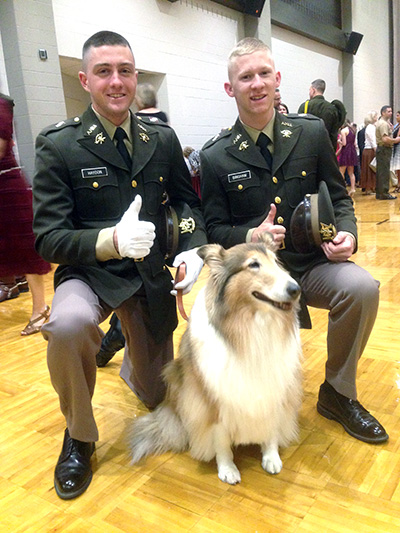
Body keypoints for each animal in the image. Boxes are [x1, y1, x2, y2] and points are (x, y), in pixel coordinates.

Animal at [131, 235, 304, 484]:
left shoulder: (273, 389)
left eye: (277, 261)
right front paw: (227, 469)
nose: (296, 289)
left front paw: (271, 456)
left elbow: (270, 427)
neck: (251, 327)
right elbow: (220, 439)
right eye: (253, 264)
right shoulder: (214, 400)